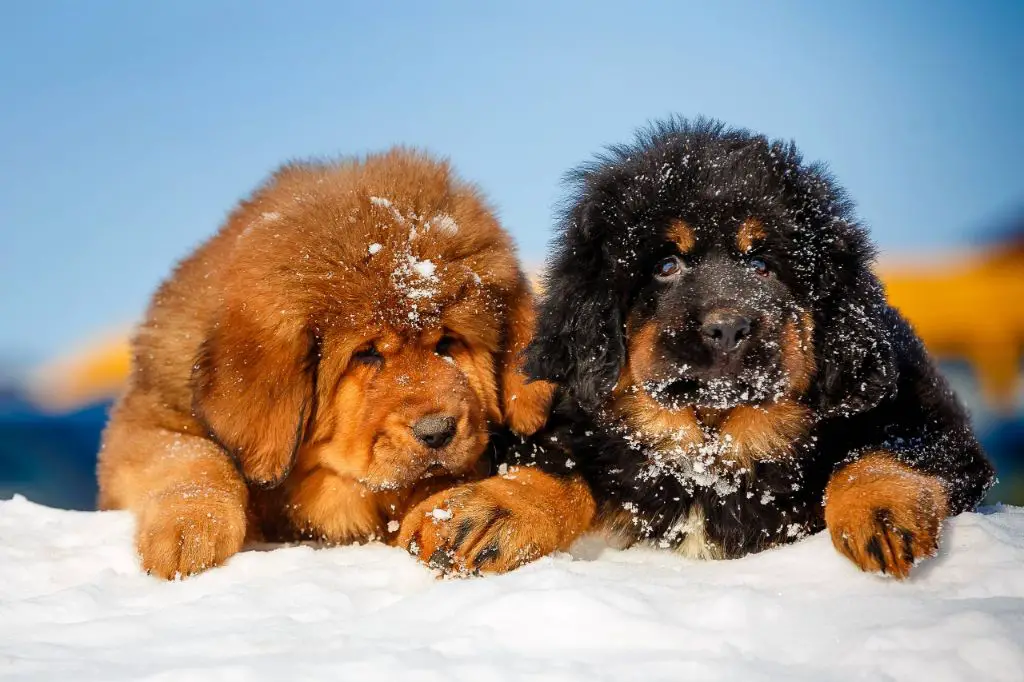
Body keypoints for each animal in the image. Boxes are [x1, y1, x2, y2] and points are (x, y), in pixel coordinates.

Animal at [97, 146, 552, 577]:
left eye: (448, 343)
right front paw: (189, 529)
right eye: (366, 354)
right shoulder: (148, 418)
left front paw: (447, 513)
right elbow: (193, 457)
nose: (437, 431)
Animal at [403, 119, 995, 577]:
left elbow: (880, 449)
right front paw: (492, 509)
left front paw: (879, 509)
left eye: (762, 265)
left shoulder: (923, 414)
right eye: (666, 265)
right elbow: (561, 463)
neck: (709, 448)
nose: (728, 327)